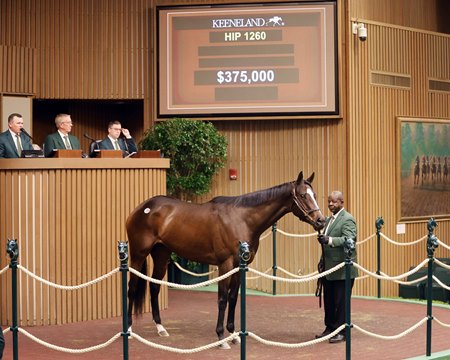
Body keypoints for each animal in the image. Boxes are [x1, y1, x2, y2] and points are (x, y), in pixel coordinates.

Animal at [125, 172, 326, 348]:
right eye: (303, 195)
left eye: (315, 195)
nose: (321, 220)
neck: (242, 220)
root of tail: (143, 208)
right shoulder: (225, 265)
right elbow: (222, 299)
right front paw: (221, 337)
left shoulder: (239, 266)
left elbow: (233, 298)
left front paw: (233, 334)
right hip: (137, 255)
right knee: (132, 287)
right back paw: (129, 329)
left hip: (161, 254)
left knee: (154, 286)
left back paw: (161, 328)